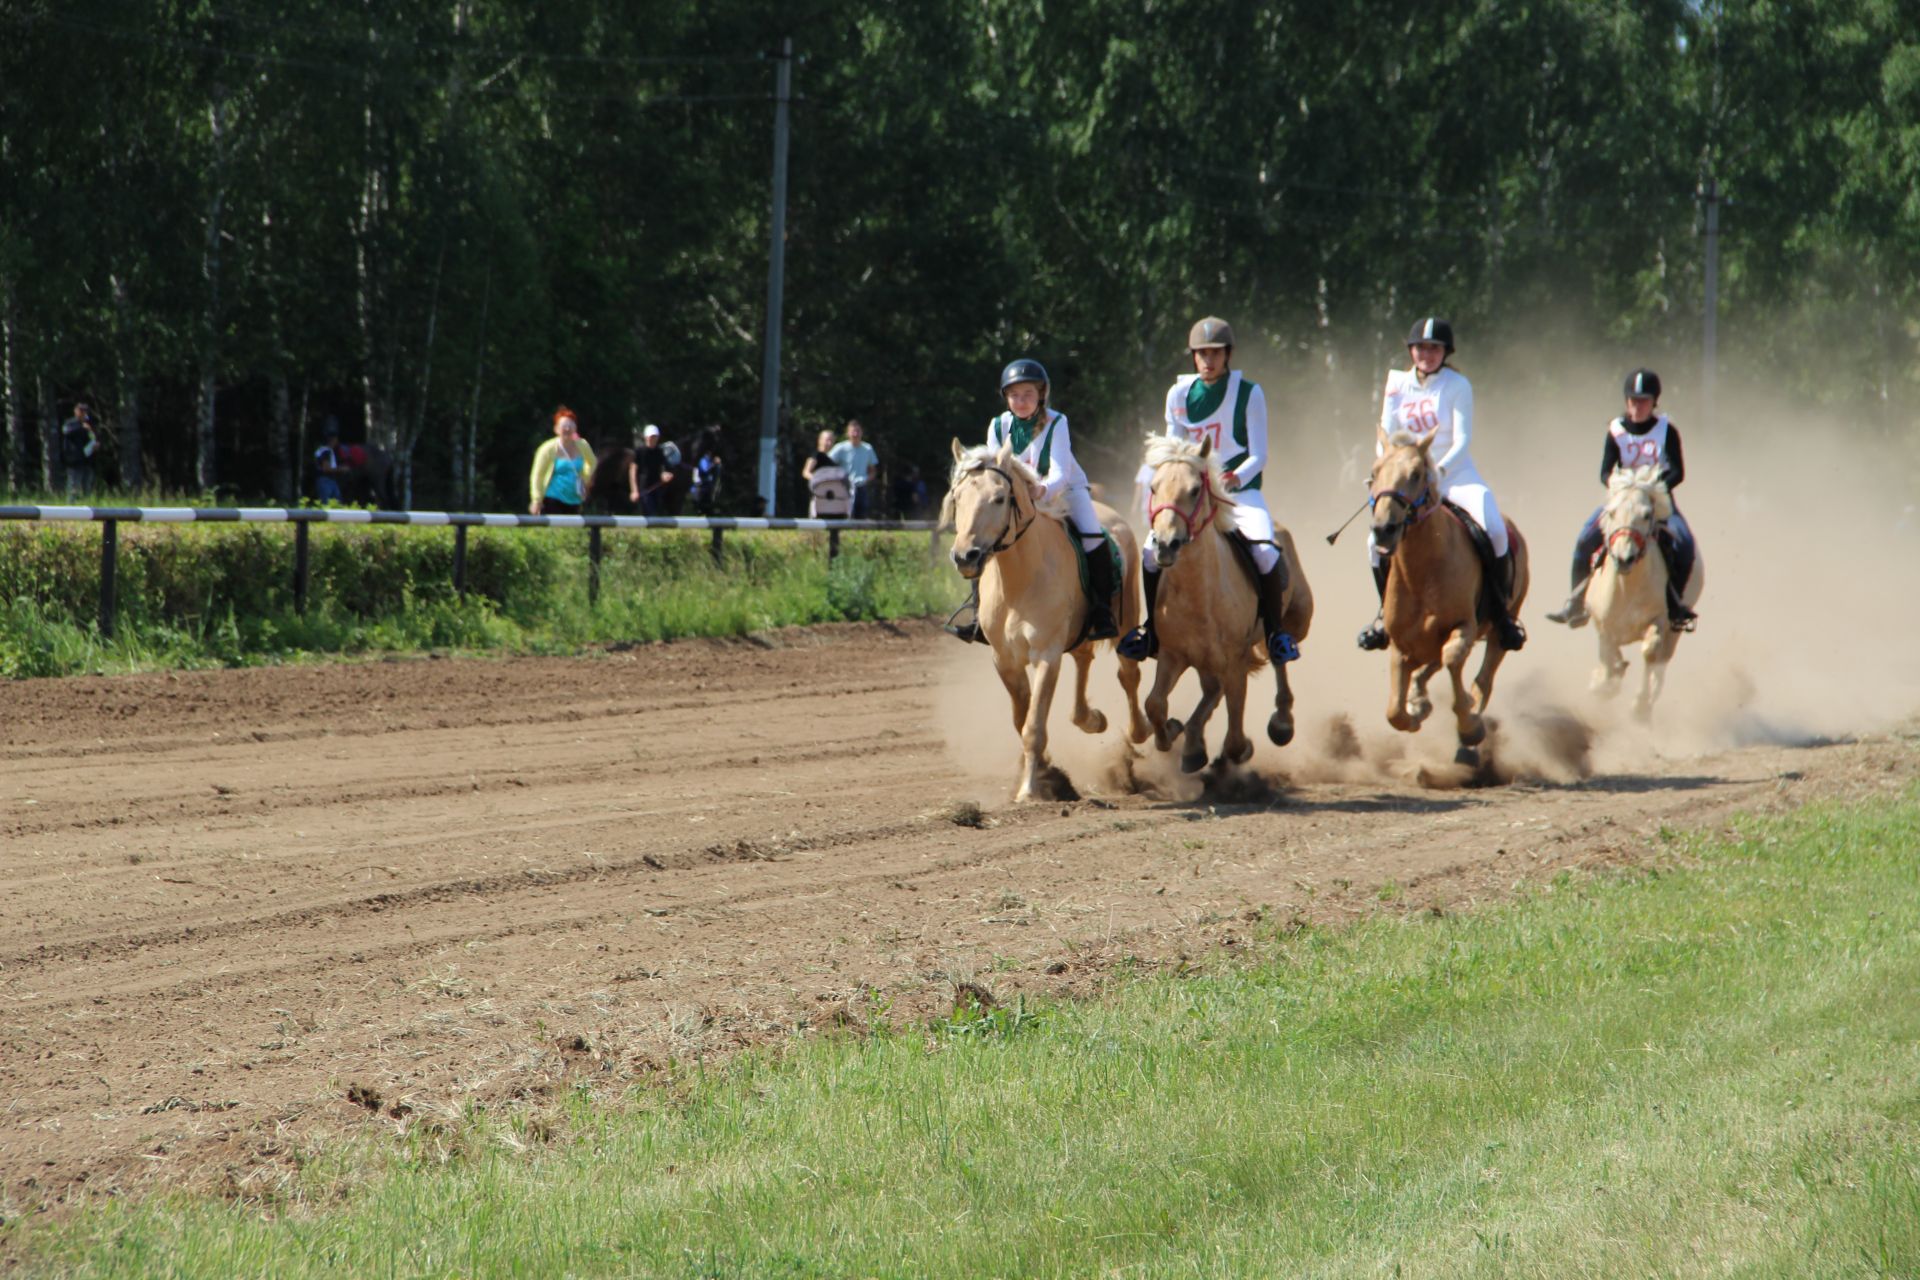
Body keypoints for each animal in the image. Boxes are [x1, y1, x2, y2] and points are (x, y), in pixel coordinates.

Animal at [940, 441, 1136, 802]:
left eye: (999, 498)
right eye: (958, 497)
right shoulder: (1005, 659)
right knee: (1084, 659)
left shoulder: (1046, 655)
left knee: (1129, 675)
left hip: (1127, 624)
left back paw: (1142, 735)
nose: (965, 556)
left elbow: (1033, 724)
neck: (1019, 580)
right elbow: (1023, 719)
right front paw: (1043, 772)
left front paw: (1030, 789)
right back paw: (1090, 719)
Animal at [1128, 435, 1313, 771]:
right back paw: (1192, 741)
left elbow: (1235, 734)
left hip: (1297, 621)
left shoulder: (1235, 660)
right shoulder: (1173, 654)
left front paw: (1233, 751)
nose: (1165, 545)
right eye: (1153, 487)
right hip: (1205, 659)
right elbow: (1155, 704)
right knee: (1212, 690)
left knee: (1278, 657)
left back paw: (1281, 722)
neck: (1199, 594)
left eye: (1194, 490)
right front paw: (1173, 732)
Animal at [1367, 435, 1528, 767]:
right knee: (1432, 665)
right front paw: (1414, 710)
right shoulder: (1400, 646)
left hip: (1500, 628)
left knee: (1483, 678)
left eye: (1416, 474)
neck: (1422, 572)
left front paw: (1468, 727)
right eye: (1374, 472)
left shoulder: (1464, 627)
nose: (1383, 529)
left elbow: (1453, 659)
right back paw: (1420, 698)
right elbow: (1394, 711)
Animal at [1582, 466, 1704, 721]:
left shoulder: (1660, 620)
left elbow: (1649, 653)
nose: (1624, 558)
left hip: (1674, 631)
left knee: (1661, 665)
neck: (1626, 588)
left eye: (1647, 515)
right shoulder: (1603, 624)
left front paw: (1638, 706)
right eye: (1612, 513)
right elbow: (1608, 655)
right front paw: (1603, 683)